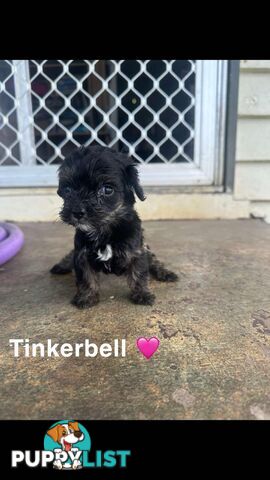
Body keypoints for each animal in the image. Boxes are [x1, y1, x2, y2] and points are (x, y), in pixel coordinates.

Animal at [50, 144, 178, 308]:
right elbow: (86, 276)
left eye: (107, 189)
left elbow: (139, 273)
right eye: (67, 190)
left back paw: (165, 273)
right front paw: (86, 297)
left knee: (154, 260)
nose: (77, 212)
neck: (105, 230)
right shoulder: (81, 254)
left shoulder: (137, 251)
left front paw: (142, 294)